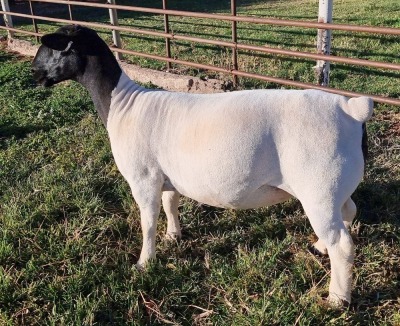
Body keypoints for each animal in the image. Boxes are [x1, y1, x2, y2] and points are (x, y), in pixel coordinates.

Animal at [32, 24, 376, 306]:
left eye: (53, 46)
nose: (33, 73)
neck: (122, 103)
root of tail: (351, 110)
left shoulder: (143, 178)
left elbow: (147, 222)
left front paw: (144, 262)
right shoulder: (166, 175)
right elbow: (170, 204)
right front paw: (173, 236)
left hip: (318, 188)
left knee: (342, 245)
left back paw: (337, 298)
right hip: (335, 186)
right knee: (348, 213)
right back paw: (319, 247)